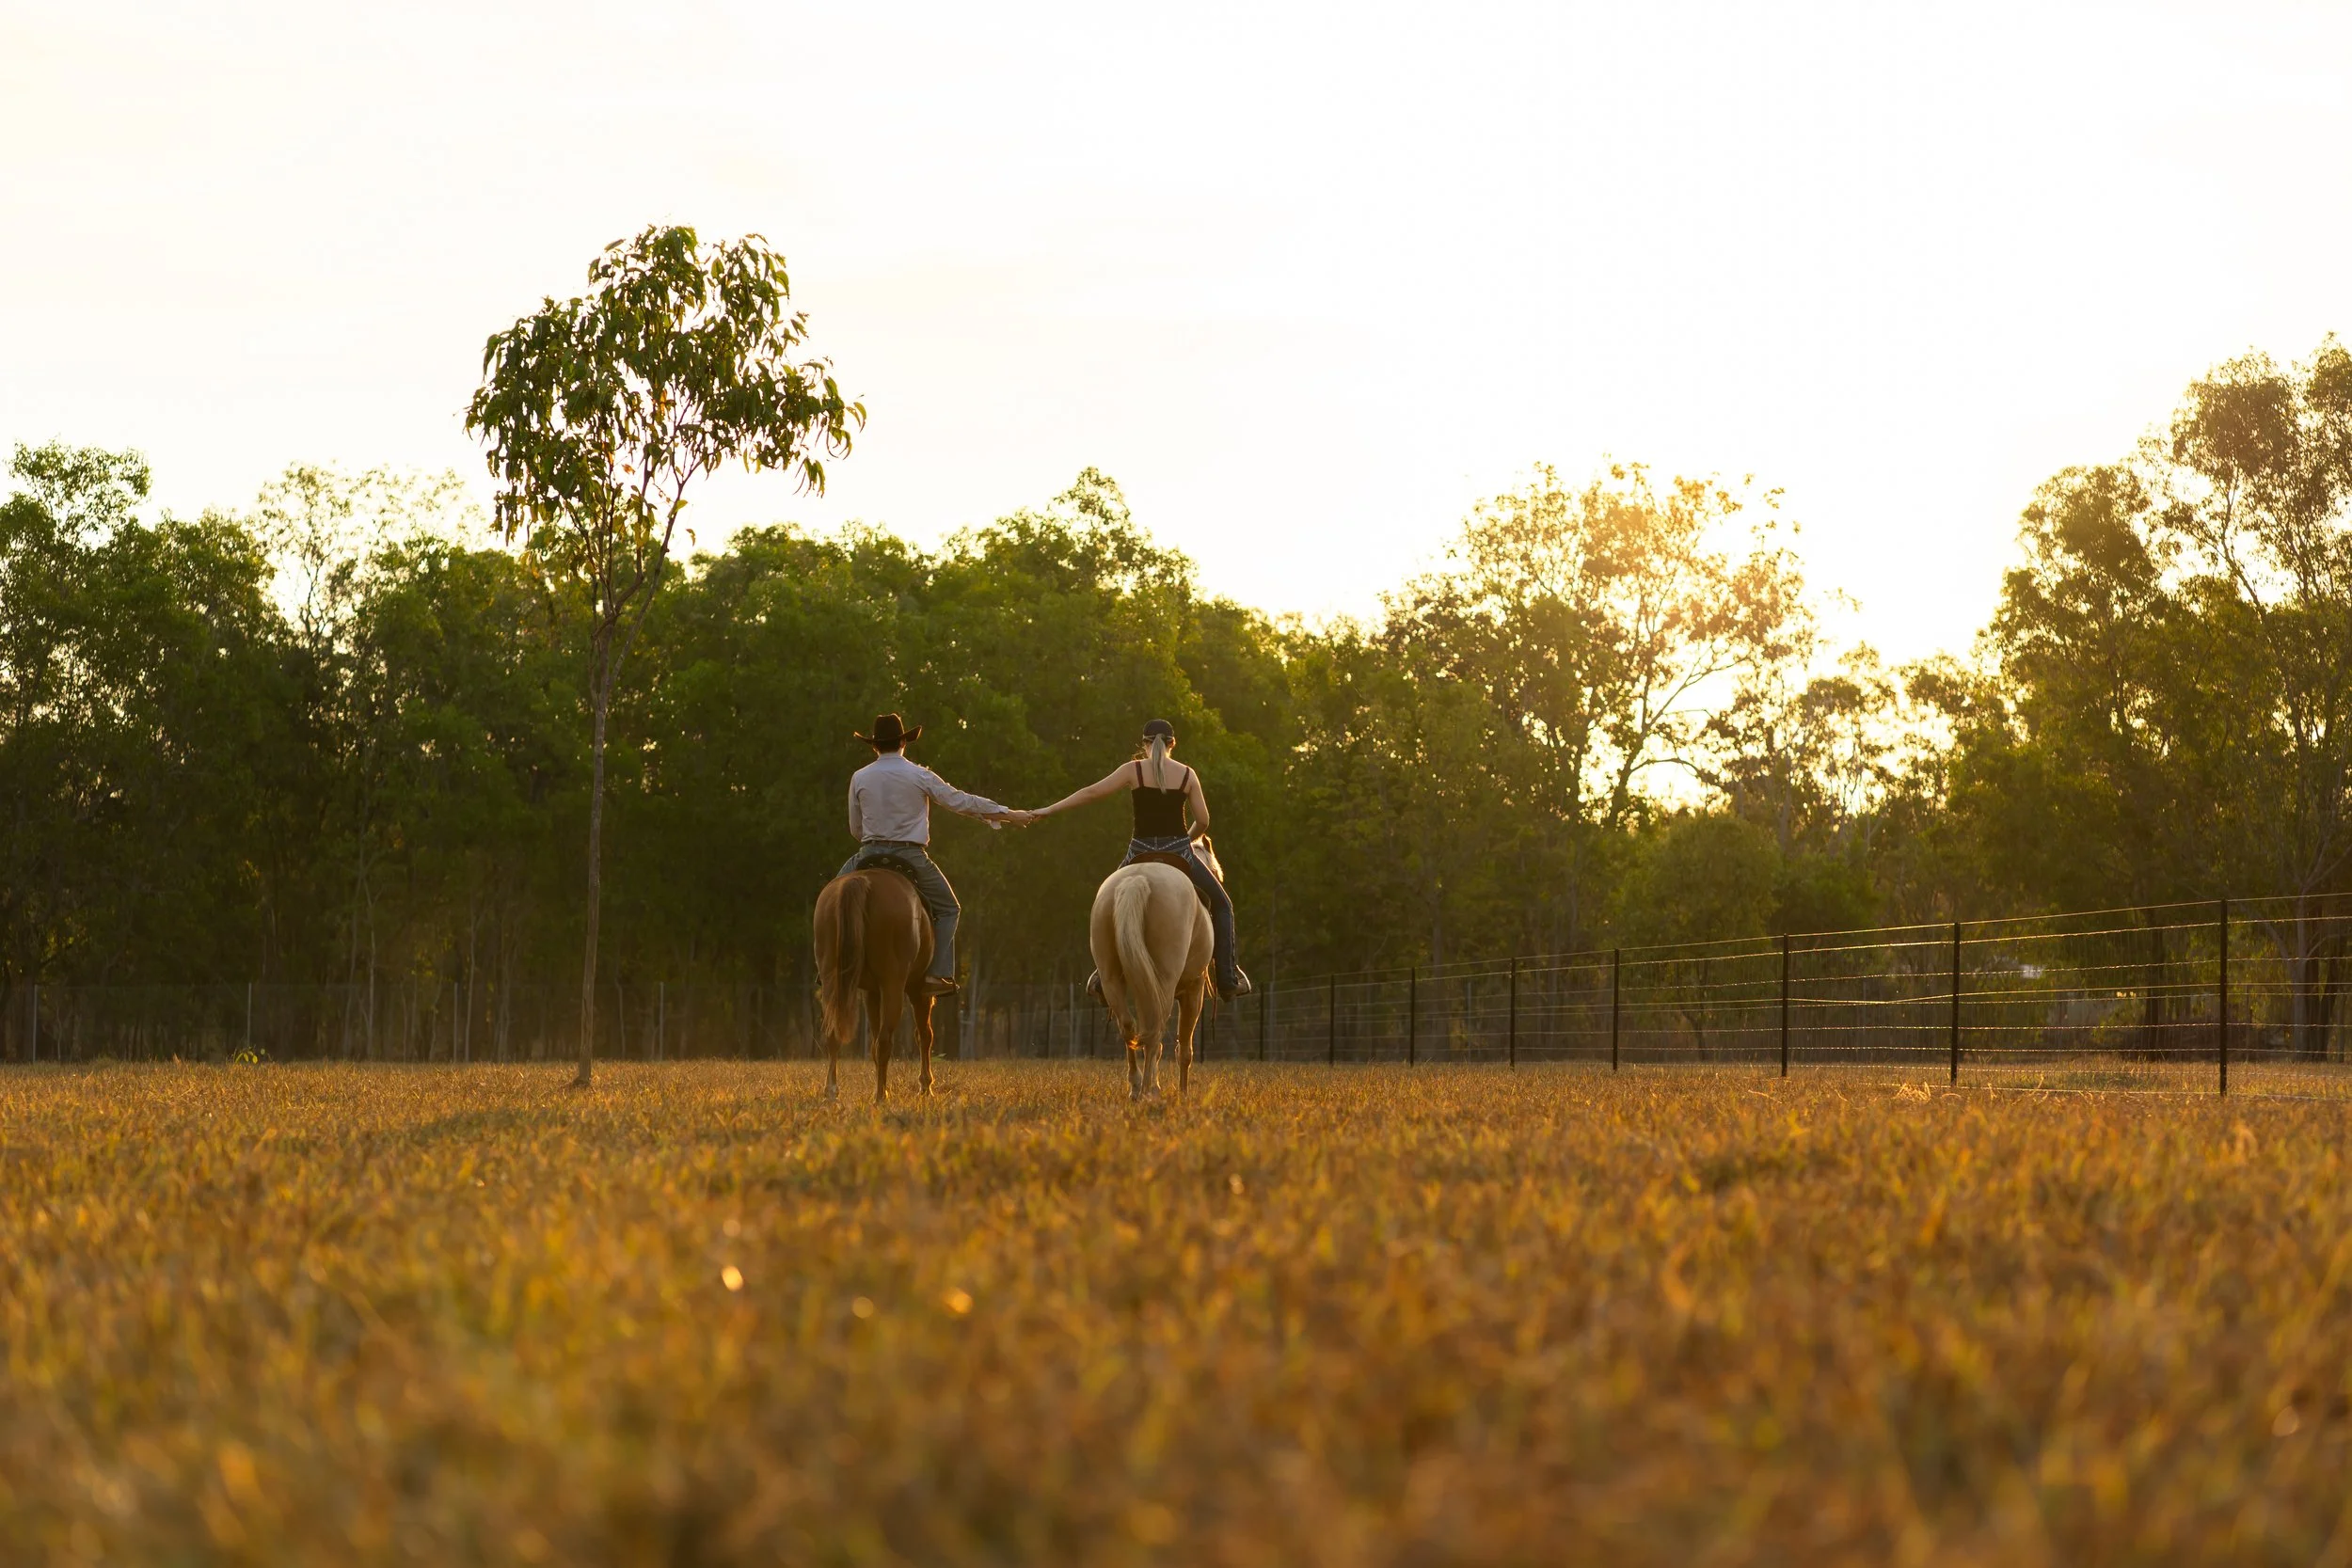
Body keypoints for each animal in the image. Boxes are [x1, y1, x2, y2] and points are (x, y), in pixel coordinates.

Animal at [813, 866, 938, 1102]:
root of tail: (860, 882)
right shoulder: (918, 990)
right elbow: (924, 1035)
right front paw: (926, 1086)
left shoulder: (871, 992)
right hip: (893, 986)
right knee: (885, 1041)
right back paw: (881, 1095)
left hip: (832, 981)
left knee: (833, 1035)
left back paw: (832, 1092)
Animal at [1089, 835, 1221, 1100]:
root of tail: (1137, 880)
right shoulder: (1194, 990)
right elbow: (1185, 1049)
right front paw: (1183, 1093)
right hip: (1165, 981)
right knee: (1155, 1029)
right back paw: (1147, 1091)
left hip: (1113, 978)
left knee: (1129, 1026)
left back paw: (1137, 1086)